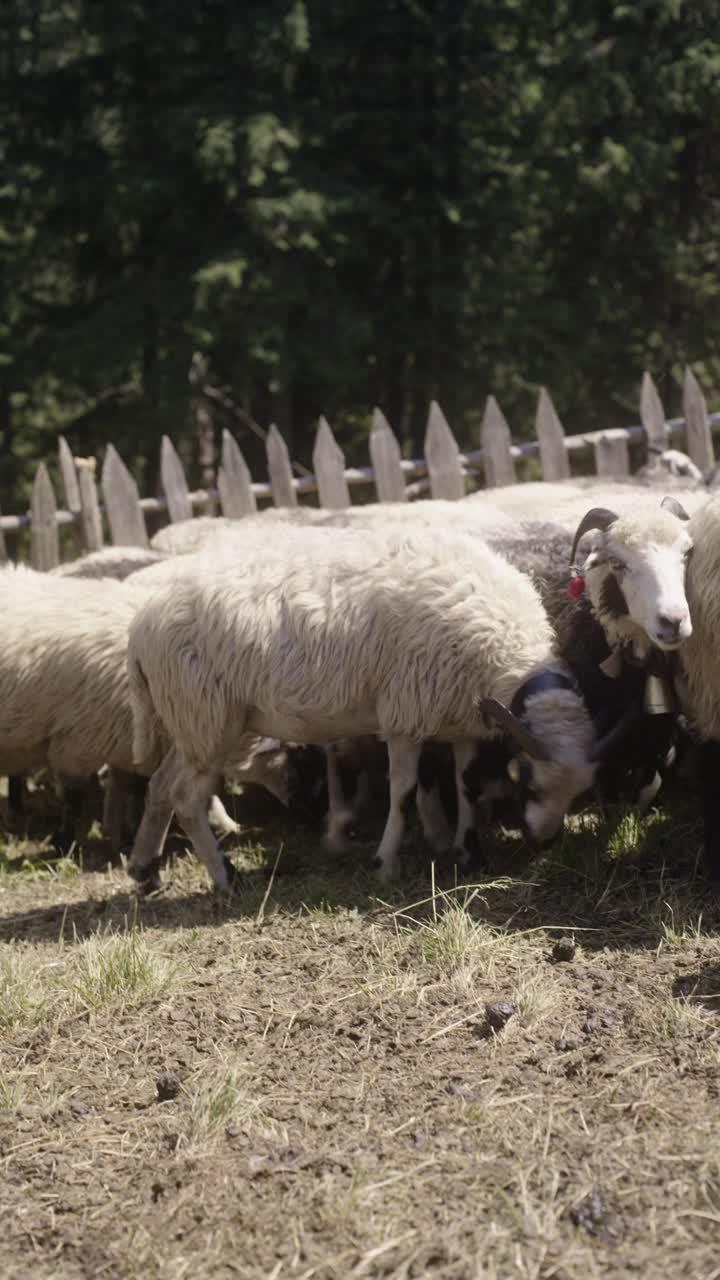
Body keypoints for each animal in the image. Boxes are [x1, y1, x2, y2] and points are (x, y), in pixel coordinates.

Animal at [124, 524, 632, 896]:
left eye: (580, 792)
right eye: (526, 780)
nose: (545, 841)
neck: (503, 651)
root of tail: (139, 626)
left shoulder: (462, 720)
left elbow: (466, 786)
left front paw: (468, 853)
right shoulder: (406, 713)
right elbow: (403, 792)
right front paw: (386, 863)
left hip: (193, 722)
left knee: (161, 786)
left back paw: (145, 869)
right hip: (207, 716)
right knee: (185, 797)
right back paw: (223, 877)